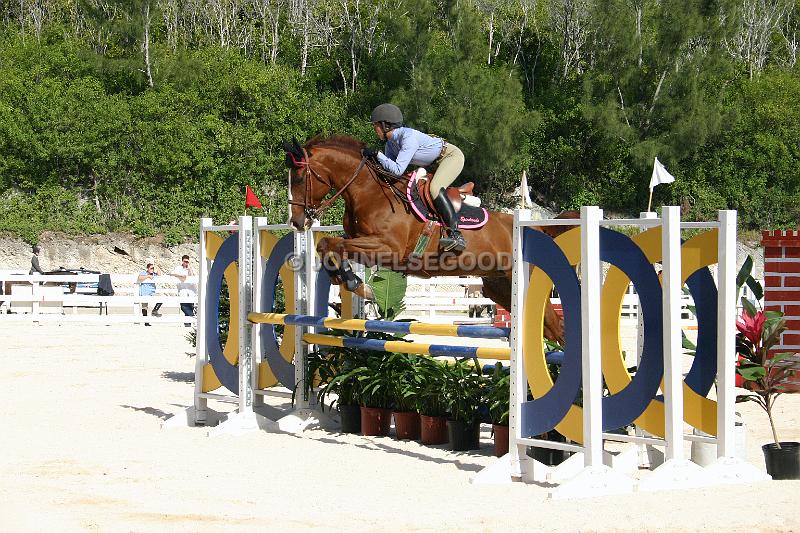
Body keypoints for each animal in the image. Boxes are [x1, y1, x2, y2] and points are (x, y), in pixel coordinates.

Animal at [284, 135, 580, 342]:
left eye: (298, 178)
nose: (297, 222)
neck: (368, 191)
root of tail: (537, 229)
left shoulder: (387, 248)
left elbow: (335, 244)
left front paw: (357, 284)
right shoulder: (364, 243)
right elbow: (329, 245)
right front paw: (349, 281)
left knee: (555, 327)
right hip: (500, 287)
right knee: (551, 328)